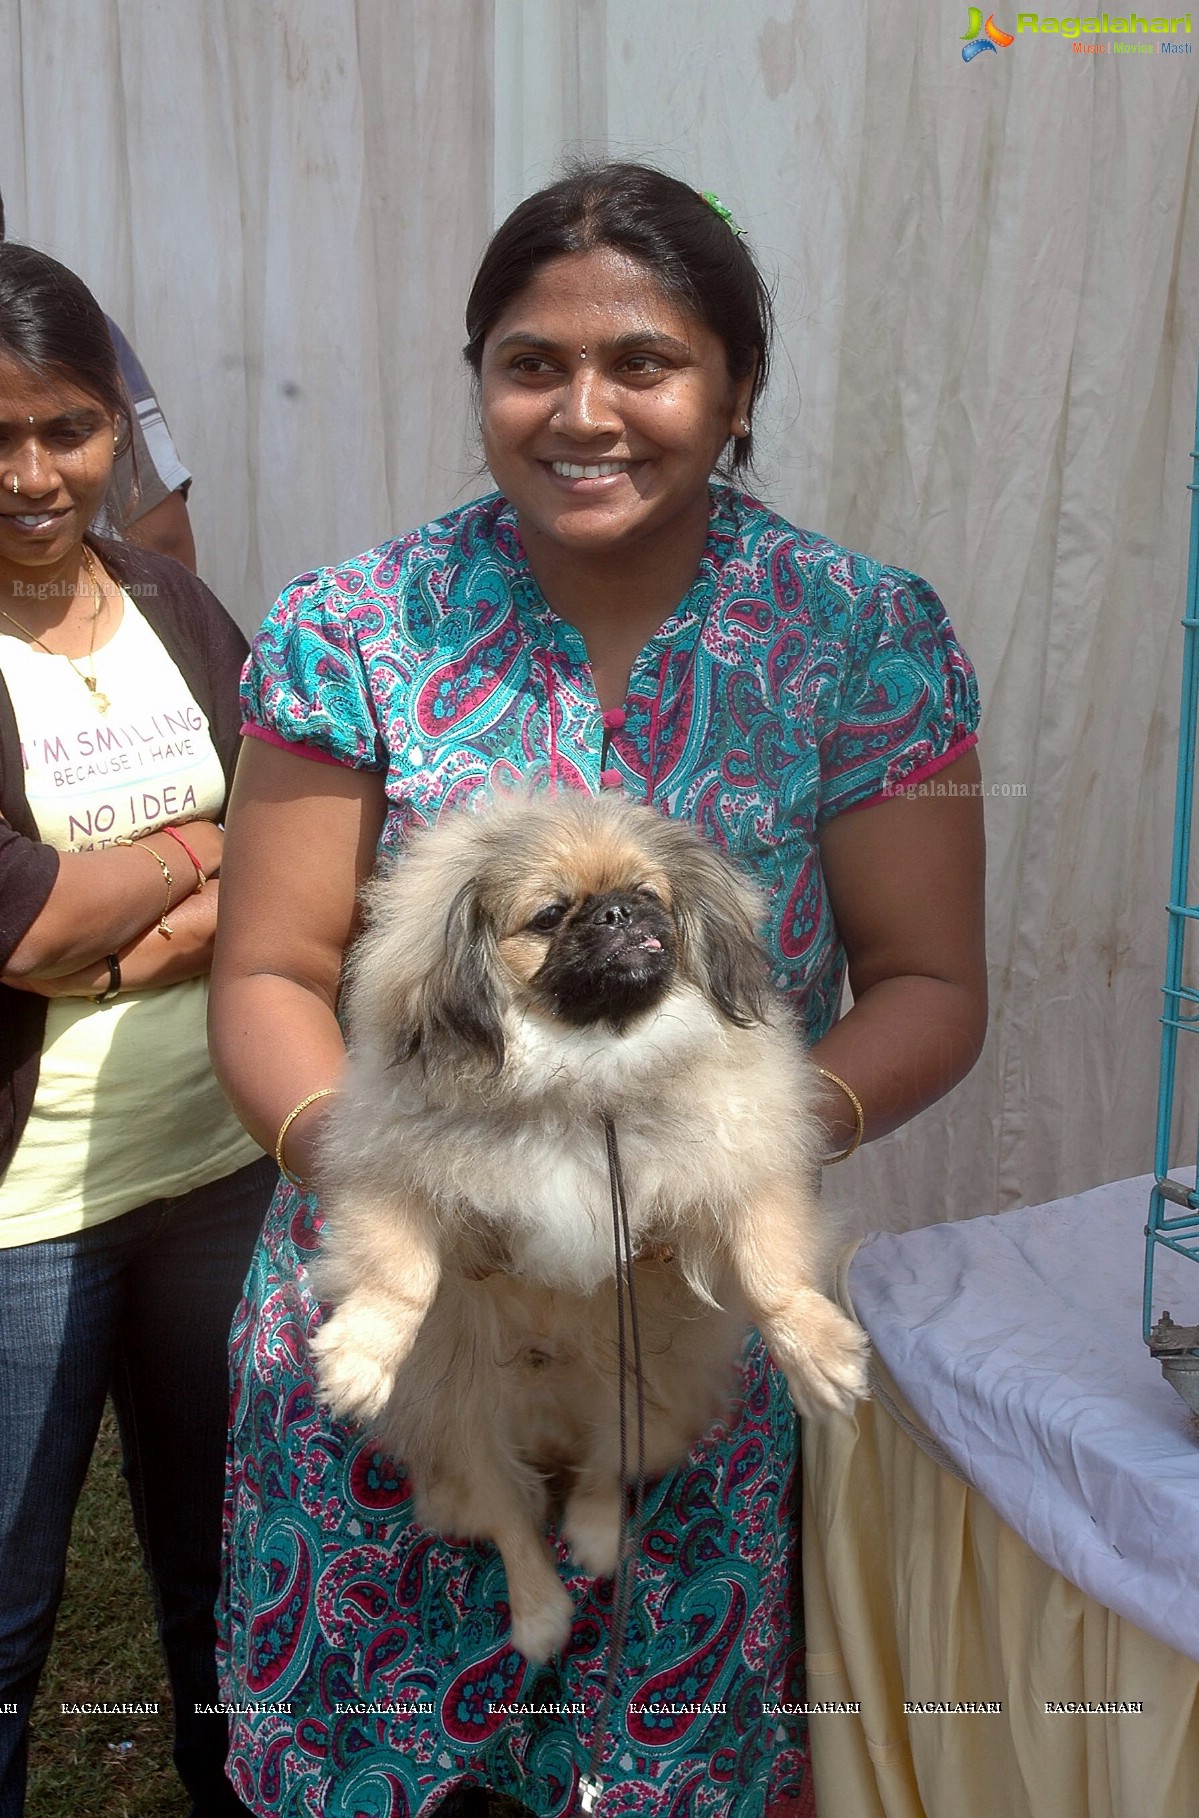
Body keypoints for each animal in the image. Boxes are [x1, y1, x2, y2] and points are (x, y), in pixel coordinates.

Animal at [314, 792, 864, 1665]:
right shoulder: (393, 1177)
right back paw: (540, 1615)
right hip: (461, 1430)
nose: (618, 912)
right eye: (548, 916)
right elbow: (399, 1277)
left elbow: (773, 1274)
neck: (586, 1071)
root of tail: (552, 1435)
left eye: (647, 895)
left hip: (642, 1403)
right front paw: (360, 1358)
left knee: (604, 1476)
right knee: (511, 1520)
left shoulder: (744, 1168)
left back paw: (599, 1540)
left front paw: (818, 1357)